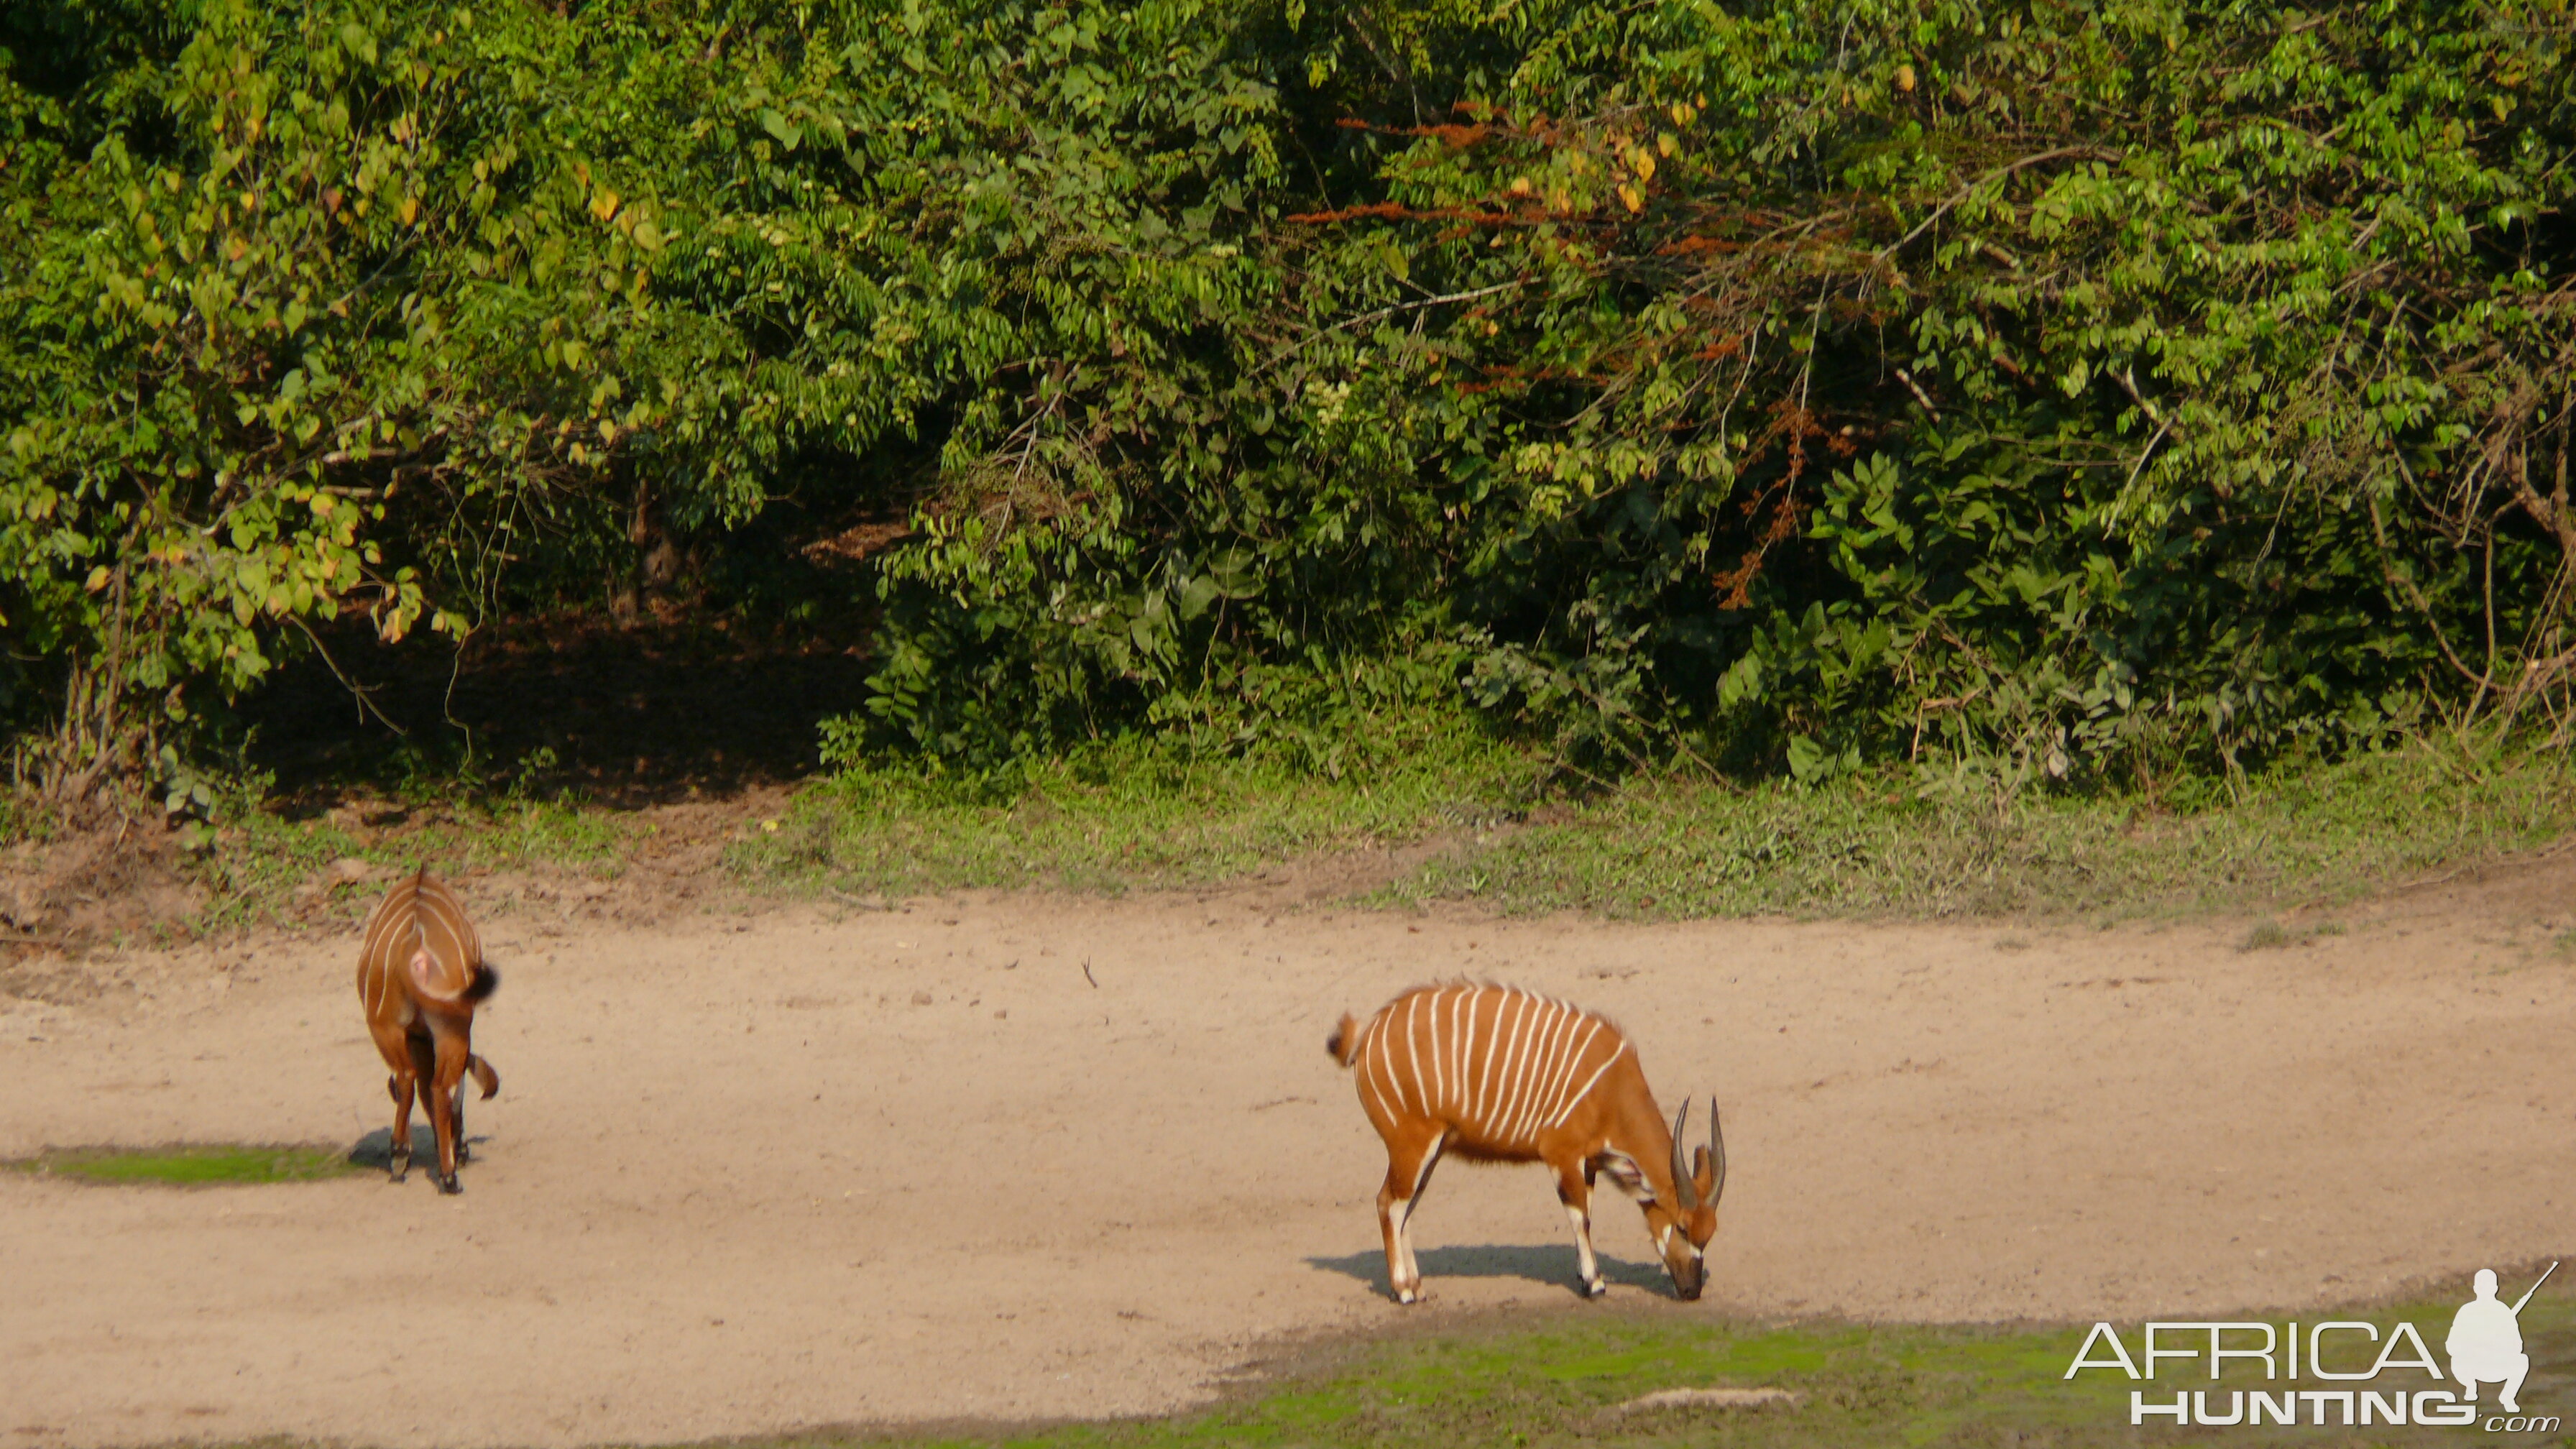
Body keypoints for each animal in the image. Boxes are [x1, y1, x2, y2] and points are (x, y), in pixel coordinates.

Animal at [360, 866, 505, 1186]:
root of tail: (414, 944)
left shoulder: (417, 1037)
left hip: (387, 1029)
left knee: (410, 1078)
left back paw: (404, 1158)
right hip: (450, 1030)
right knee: (437, 1086)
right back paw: (445, 1173)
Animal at [1329, 980, 1731, 1299]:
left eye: (1709, 1232)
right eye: (1682, 1226)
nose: (1692, 1290)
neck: (1610, 1086)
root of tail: (1365, 1035)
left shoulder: (1587, 1162)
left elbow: (1587, 1211)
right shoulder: (1562, 1155)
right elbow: (1580, 1216)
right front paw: (1594, 1283)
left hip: (1431, 1151)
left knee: (1405, 1208)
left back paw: (1416, 1283)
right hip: (1411, 1146)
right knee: (1388, 1204)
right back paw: (1403, 1290)